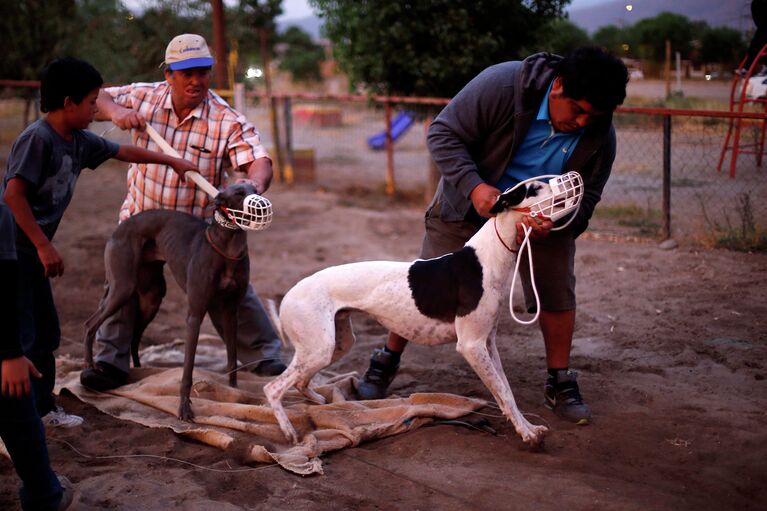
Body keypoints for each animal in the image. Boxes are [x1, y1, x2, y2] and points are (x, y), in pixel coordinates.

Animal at [266, 182, 552, 446]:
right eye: (536, 188)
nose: (563, 178)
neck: (487, 257)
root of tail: (287, 297)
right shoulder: (472, 346)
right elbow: (502, 392)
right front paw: (526, 434)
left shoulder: (488, 343)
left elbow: (506, 391)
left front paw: (528, 427)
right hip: (319, 349)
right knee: (273, 388)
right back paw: (289, 431)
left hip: (335, 344)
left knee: (300, 381)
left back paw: (320, 402)